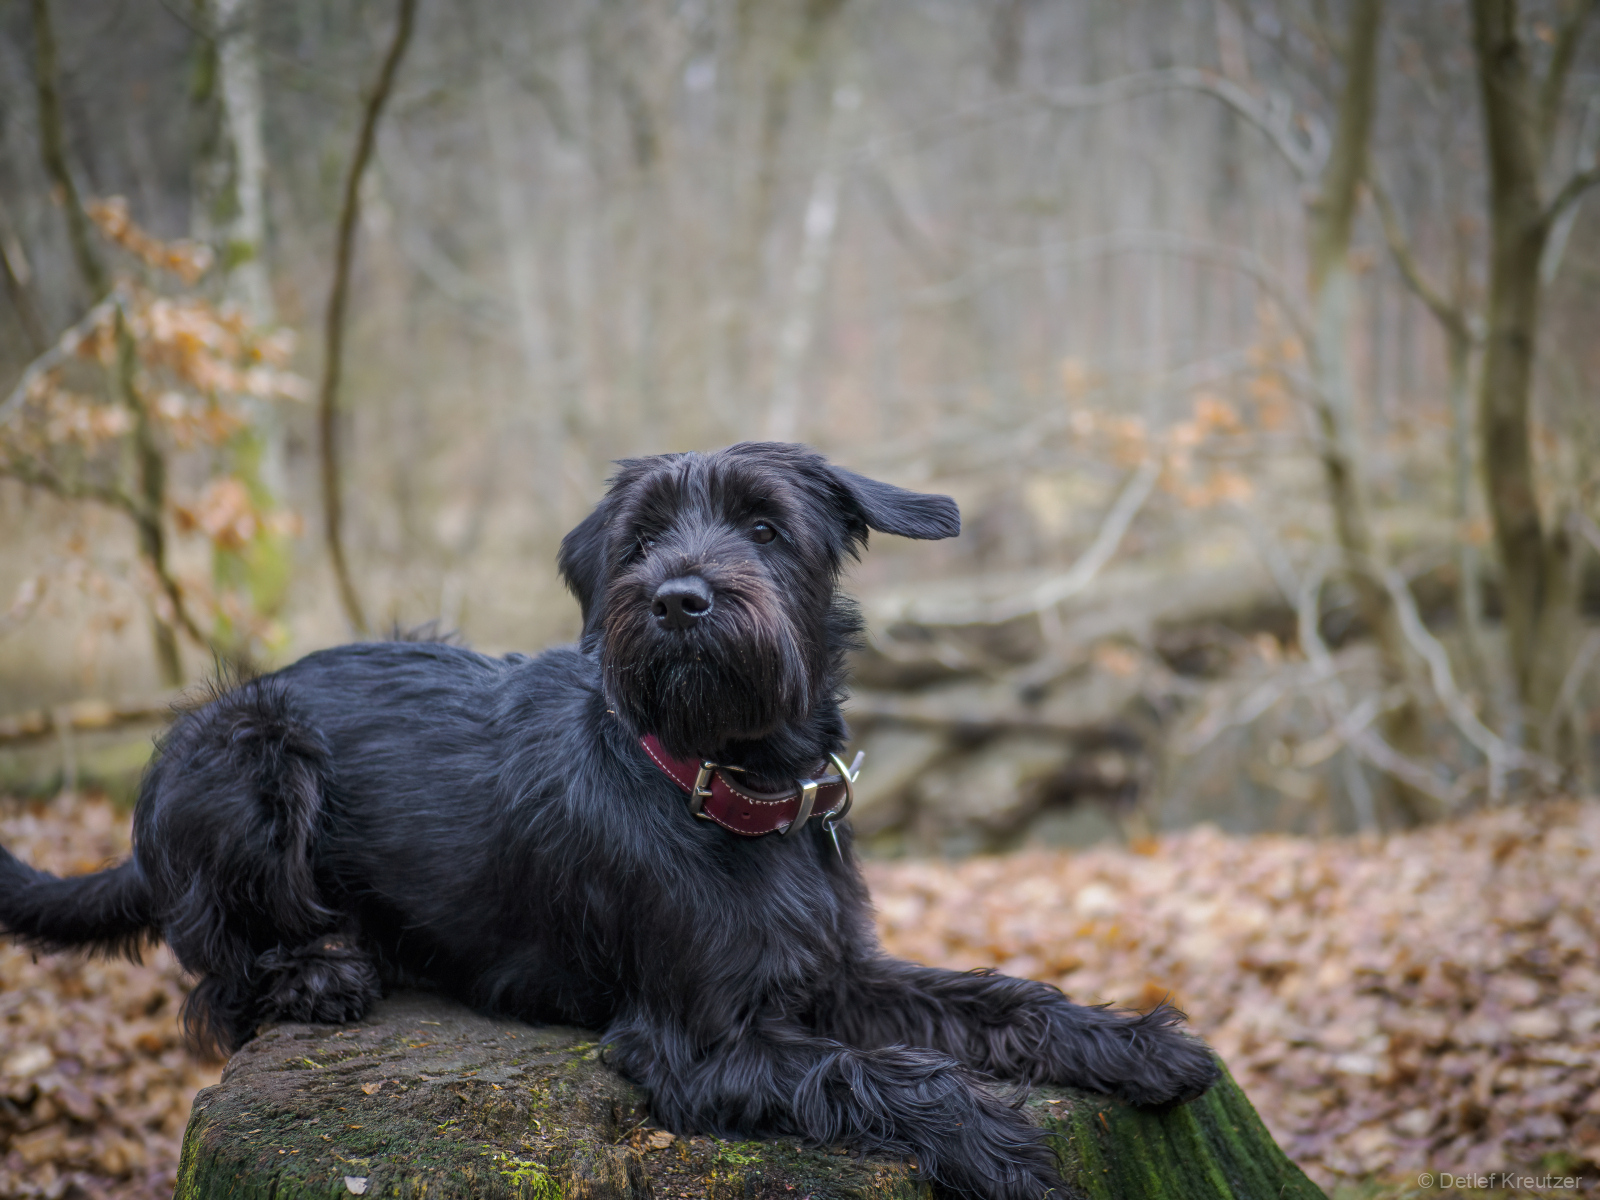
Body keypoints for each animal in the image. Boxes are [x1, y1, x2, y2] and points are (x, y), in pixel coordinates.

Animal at [0, 443, 1217, 1199]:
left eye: (766, 525)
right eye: (639, 540)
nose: (679, 596)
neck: (733, 781)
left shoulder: (834, 977)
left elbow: (997, 1000)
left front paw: (1136, 1045)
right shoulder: (696, 1045)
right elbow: (880, 1073)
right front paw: (992, 1139)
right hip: (246, 753)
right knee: (214, 977)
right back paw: (321, 976)